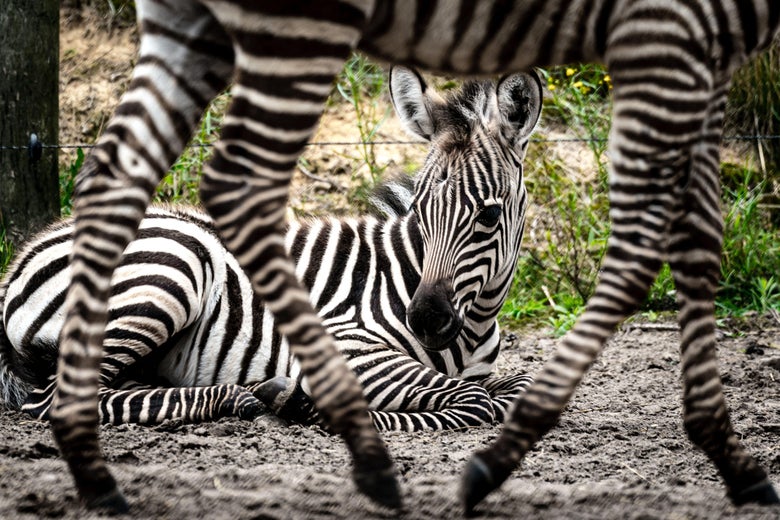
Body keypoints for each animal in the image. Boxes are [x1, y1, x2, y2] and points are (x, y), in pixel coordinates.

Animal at [0, 68, 539, 434]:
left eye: (489, 215)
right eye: (421, 212)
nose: (424, 320)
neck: (475, 321)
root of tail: (21, 259)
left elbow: (514, 388)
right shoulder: (347, 344)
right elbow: (475, 400)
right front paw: (323, 408)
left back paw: (246, 396)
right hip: (175, 265)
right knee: (55, 401)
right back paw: (245, 398)